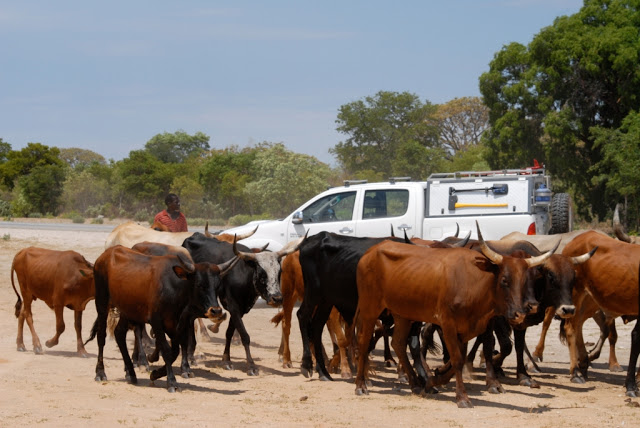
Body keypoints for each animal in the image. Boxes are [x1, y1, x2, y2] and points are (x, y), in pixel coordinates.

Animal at [352, 224, 552, 408]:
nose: (520, 314)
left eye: (526, 280)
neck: (473, 282)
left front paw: (433, 380)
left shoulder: (466, 328)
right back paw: (361, 385)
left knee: (398, 343)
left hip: (402, 314)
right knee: (364, 341)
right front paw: (462, 397)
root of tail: (371, 252)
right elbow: (456, 359)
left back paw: (415, 384)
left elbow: (460, 358)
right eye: (504, 280)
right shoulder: (447, 324)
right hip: (370, 308)